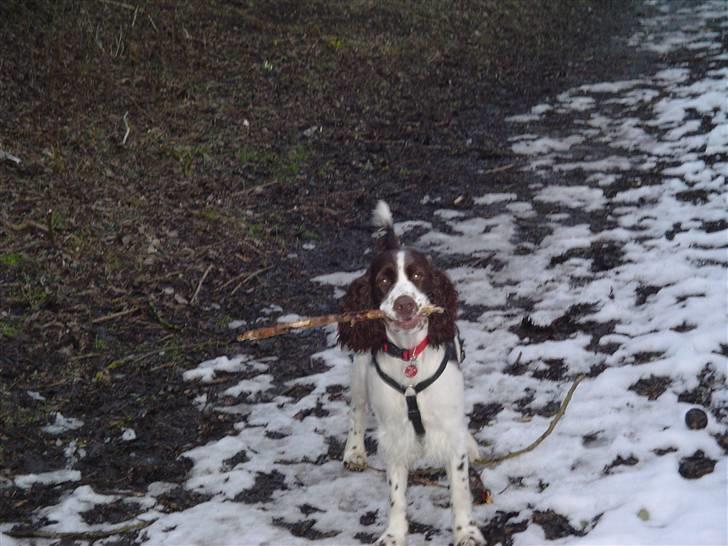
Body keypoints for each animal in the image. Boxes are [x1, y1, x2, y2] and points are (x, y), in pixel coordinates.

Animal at [338, 200, 486, 544]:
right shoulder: (394, 434)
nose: (404, 304)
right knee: (357, 409)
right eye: (383, 280)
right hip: (360, 371)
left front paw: (466, 532)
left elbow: (460, 490)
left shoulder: (448, 424)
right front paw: (393, 535)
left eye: (418, 275)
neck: (410, 356)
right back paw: (354, 452)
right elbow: (396, 495)